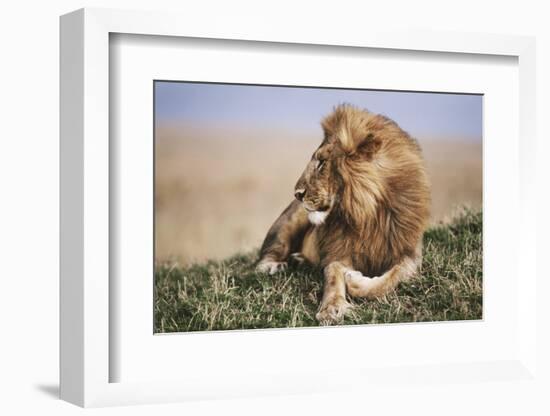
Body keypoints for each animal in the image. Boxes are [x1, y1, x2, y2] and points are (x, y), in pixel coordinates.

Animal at [256, 105, 434, 324]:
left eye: (322, 162)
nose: (297, 194)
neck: (367, 215)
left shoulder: (409, 253)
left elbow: (392, 278)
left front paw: (355, 281)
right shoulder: (339, 251)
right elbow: (333, 274)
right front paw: (332, 308)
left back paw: (300, 261)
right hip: (289, 222)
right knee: (265, 256)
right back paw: (275, 266)